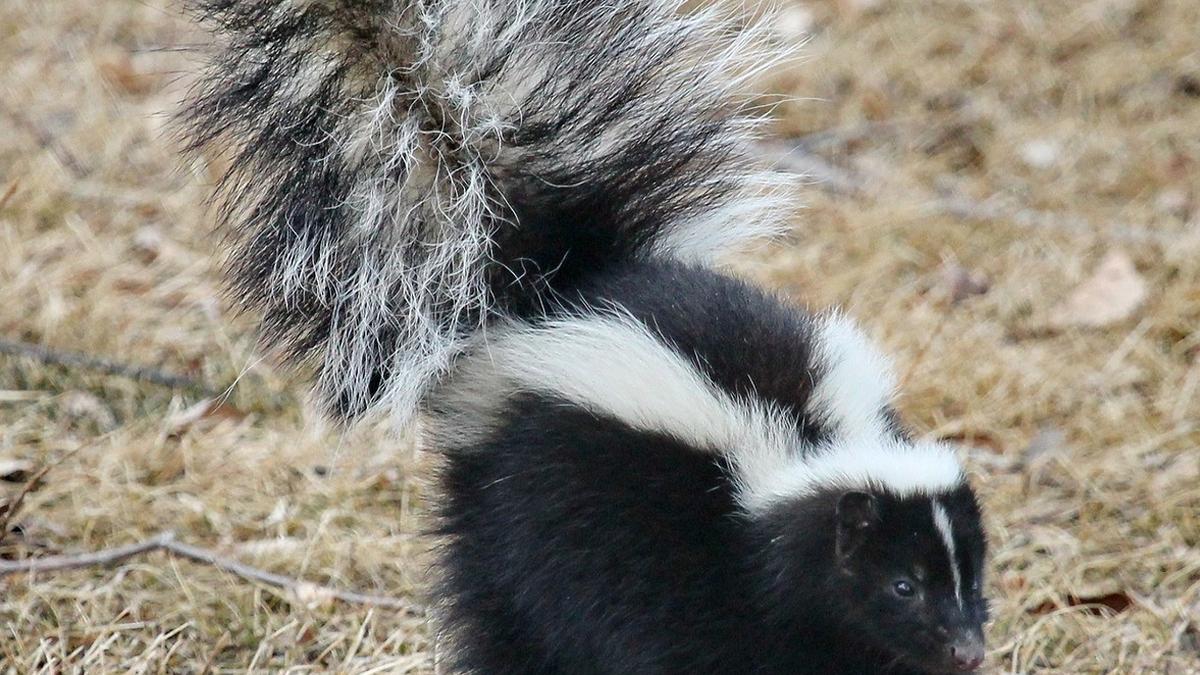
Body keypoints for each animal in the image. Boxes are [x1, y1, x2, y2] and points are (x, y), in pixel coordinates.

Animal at [187, 2, 988, 667]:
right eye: (902, 585)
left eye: (973, 573)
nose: (969, 649)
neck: (799, 453)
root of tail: (550, 286)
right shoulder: (686, 565)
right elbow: (681, 639)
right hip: (519, 507)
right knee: (507, 611)